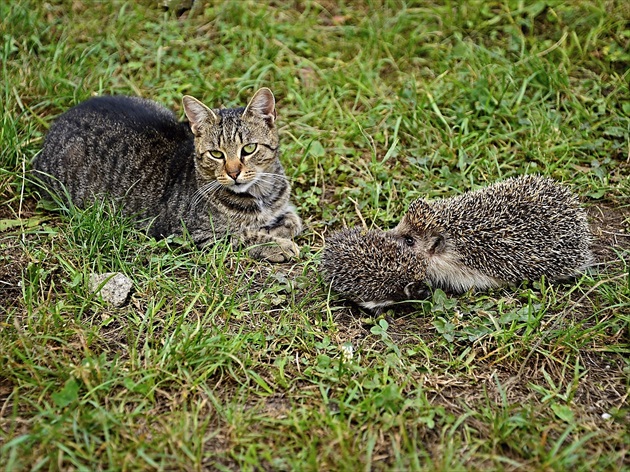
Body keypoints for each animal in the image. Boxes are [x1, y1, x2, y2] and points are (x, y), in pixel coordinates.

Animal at [32, 88, 304, 262]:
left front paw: (277, 229)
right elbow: (244, 236)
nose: (234, 172)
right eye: (216, 154)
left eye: (248, 149)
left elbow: (293, 220)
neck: (260, 194)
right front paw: (277, 245)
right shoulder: (193, 233)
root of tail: (61, 120)